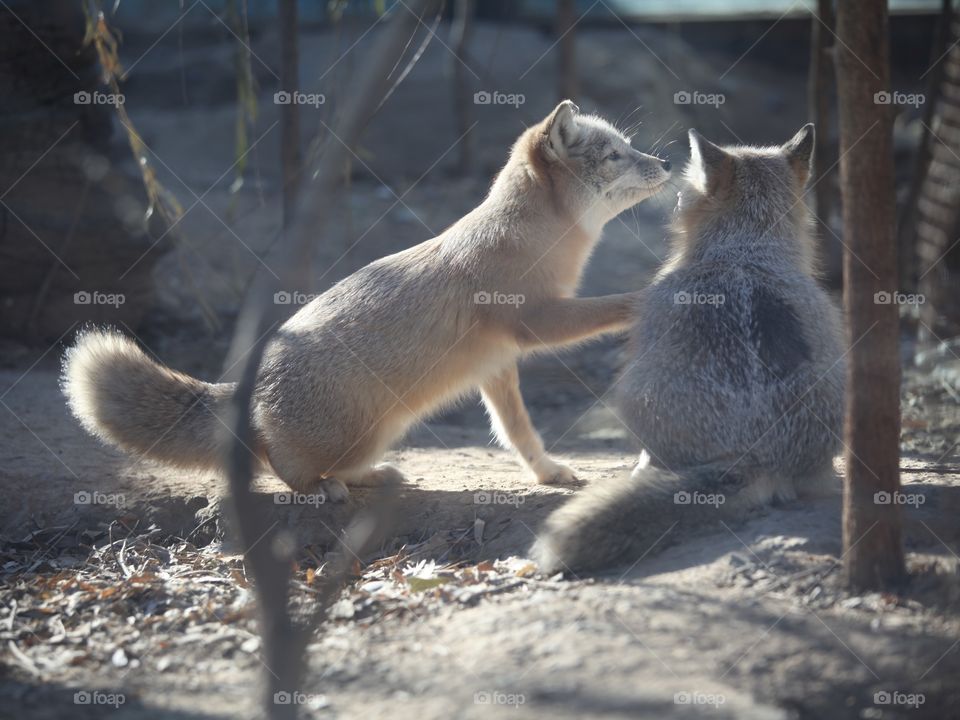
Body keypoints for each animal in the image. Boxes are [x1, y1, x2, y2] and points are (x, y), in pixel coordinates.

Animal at [62, 101, 673, 502]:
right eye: (615, 156)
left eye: (629, 148)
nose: (666, 164)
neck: (528, 237)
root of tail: (248, 388)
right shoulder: (535, 321)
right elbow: (608, 306)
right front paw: (652, 292)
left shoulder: (498, 366)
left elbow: (519, 434)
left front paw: (548, 473)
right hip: (363, 432)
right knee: (282, 469)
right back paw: (327, 488)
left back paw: (372, 478)